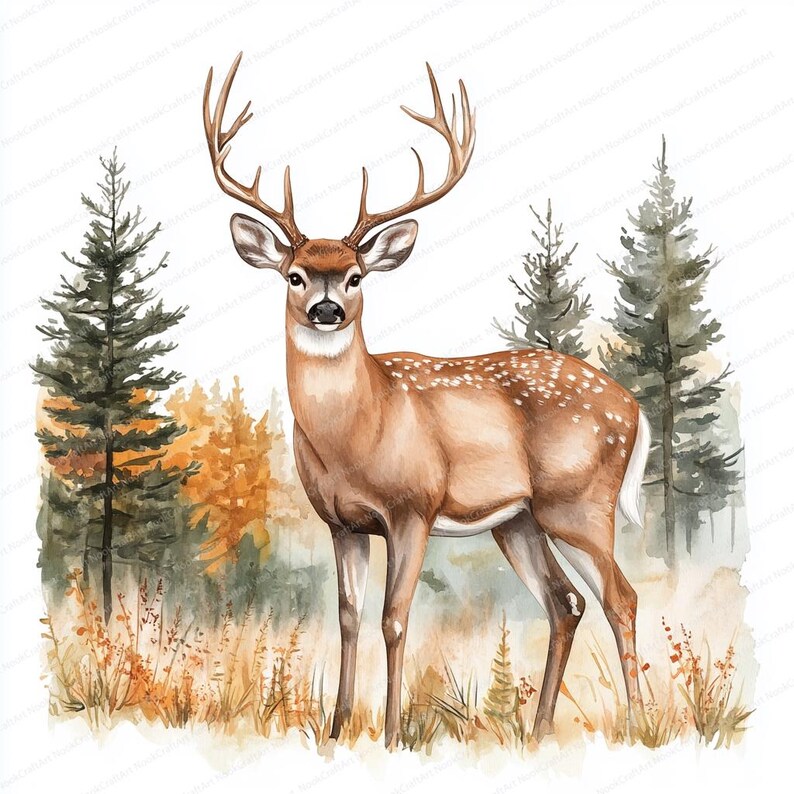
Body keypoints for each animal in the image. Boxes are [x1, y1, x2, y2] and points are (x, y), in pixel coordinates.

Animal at [203, 53, 651, 750]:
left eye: (355, 276)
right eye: (295, 275)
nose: (326, 309)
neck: (359, 433)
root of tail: (633, 408)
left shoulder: (413, 506)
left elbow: (394, 617)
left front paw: (391, 735)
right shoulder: (342, 523)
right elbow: (349, 618)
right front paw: (337, 729)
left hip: (579, 502)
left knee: (619, 597)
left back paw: (636, 724)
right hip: (517, 520)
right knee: (566, 603)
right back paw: (538, 730)